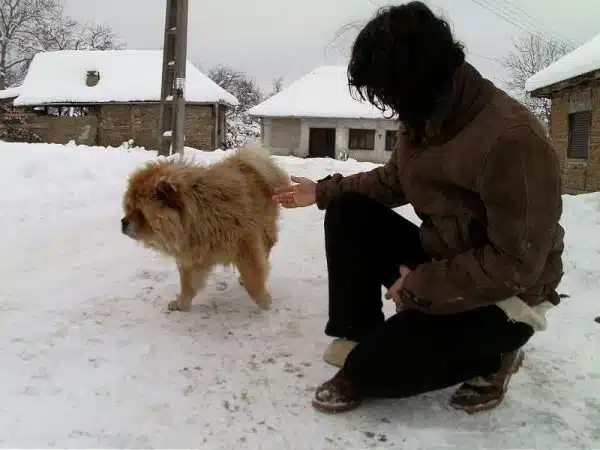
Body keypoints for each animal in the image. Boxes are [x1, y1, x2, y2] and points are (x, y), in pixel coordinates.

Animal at [120, 142, 290, 312]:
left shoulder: (245, 244)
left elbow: (253, 277)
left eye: (140, 212)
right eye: (128, 208)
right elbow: (187, 284)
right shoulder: (192, 255)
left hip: (265, 227)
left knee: (265, 250)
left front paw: (263, 300)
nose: (123, 221)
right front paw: (181, 303)